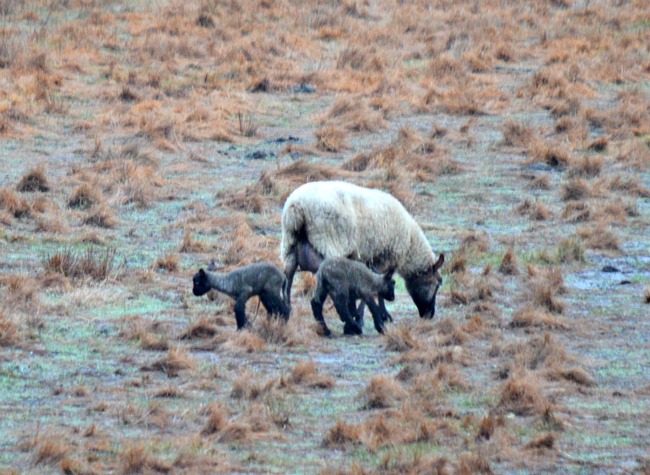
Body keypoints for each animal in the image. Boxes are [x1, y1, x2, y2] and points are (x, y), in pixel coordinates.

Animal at [281, 181, 445, 319]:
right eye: (438, 283)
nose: (429, 314)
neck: (410, 242)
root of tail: (297, 206)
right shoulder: (382, 259)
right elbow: (379, 285)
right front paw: (381, 314)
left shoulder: (366, 259)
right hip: (328, 243)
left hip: (290, 245)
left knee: (288, 278)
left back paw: (287, 309)